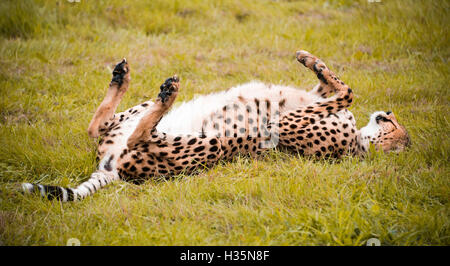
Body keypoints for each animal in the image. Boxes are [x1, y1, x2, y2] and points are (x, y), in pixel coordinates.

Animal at [21, 50, 410, 202]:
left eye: (399, 134)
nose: (388, 112)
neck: (359, 144)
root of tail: (112, 171)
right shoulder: (310, 100)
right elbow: (335, 86)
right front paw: (310, 59)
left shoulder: (283, 122)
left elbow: (348, 91)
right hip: (133, 121)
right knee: (100, 125)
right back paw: (124, 76)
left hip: (211, 146)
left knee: (134, 135)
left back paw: (168, 92)